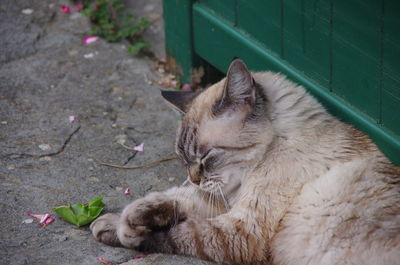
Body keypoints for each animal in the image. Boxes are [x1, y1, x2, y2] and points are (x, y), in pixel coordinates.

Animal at [90, 58, 400, 262]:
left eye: (206, 156)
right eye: (184, 161)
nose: (194, 178)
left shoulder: (242, 229)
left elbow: (179, 232)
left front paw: (127, 232)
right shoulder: (225, 200)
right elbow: (173, 199)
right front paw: (117, 221)